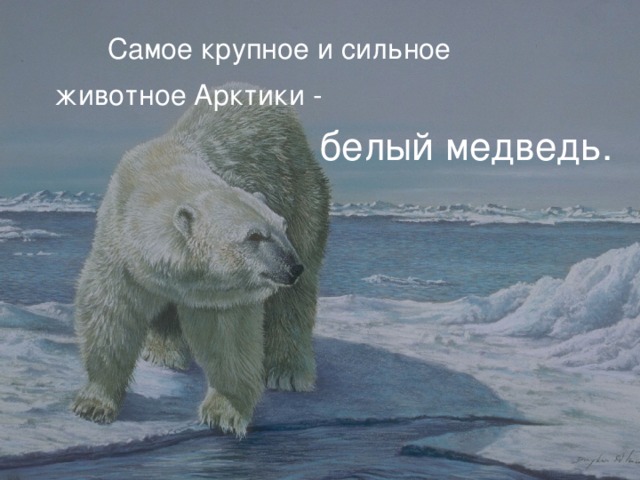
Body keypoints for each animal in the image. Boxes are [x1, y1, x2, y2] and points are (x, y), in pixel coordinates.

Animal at [72, 83, 330, 436]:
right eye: (253, 236)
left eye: (279, 228)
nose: (292, 267)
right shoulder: (121, 251)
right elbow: (110, 312)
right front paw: (94, 403)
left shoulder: (223, 290)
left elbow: (228, 335)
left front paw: (224, 413)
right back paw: (164, 351)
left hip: (301, 192)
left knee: (293, 301)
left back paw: (287, 372)